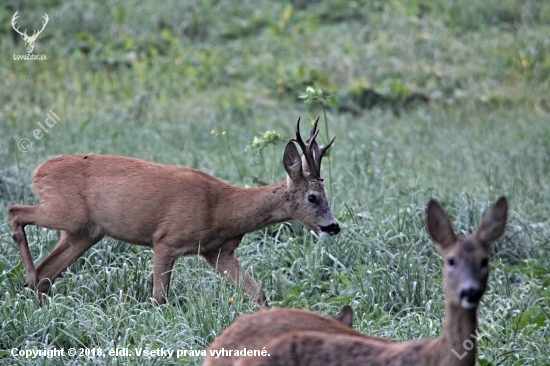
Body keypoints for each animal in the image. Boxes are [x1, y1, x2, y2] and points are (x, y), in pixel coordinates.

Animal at [6, 117, 338, 306]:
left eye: (325, 194)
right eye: (312, 197)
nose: (333, 226)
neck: (221, 209)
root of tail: (39, 171)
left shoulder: (218, 252)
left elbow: (258, 292)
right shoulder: (166, 240)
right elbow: (159, 299)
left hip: (85, 231)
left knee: (49, 271)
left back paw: (34, 291)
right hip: (65, 210)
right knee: (15, 210)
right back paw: (28, 276)